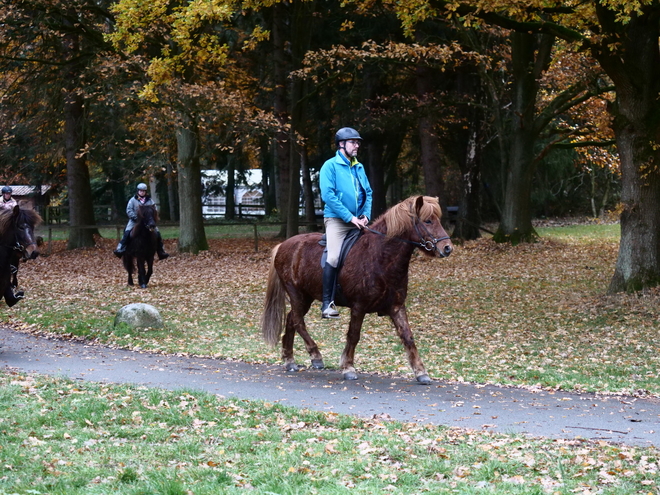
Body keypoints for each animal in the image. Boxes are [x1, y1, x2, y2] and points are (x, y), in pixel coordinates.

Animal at [262, 196, 454, 386]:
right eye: (428, 220)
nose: (447, 248)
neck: (381, 256)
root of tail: (283, 245)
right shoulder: (358, 307)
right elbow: (354, 335)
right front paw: (348, 367)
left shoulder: (397, 307)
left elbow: (408, 337)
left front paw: (421, 372)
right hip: (297, 294)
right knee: (298, 321)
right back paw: (315, 356)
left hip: (305, 297)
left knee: (291, 319)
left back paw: (290, 360)